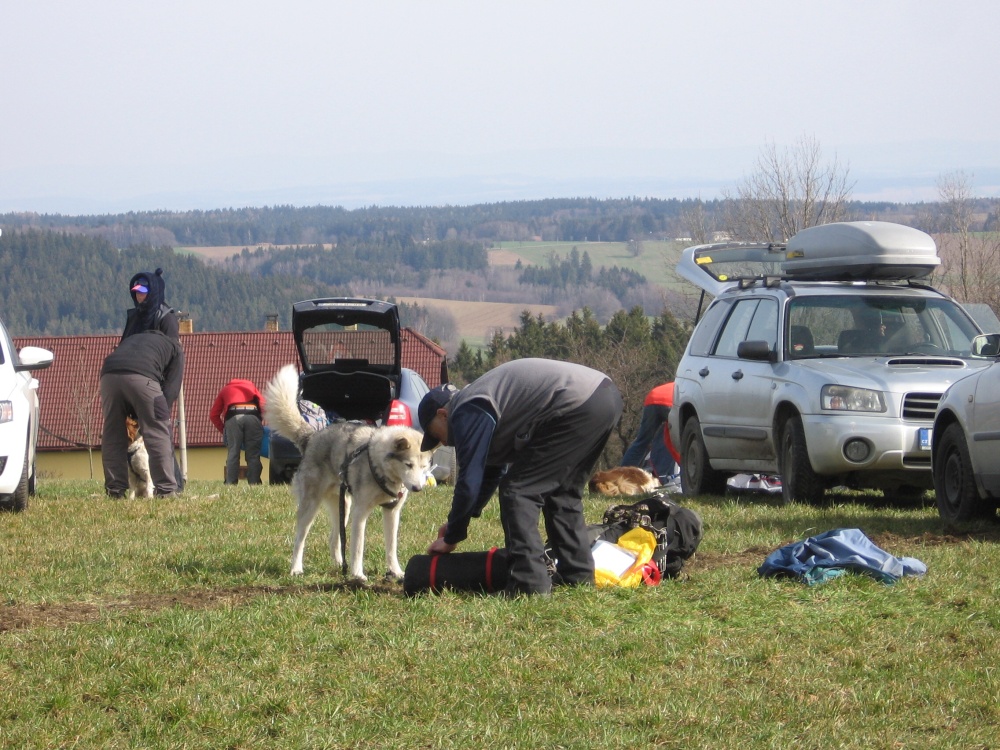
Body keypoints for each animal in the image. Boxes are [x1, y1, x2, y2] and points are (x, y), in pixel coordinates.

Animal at [264, 364, 432, 580]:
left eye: (424, 467)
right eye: (408, 465)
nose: (418, 488)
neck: (379, 465)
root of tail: (312, 437)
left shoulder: (392, 512)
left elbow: (391, 547)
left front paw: (396, 572)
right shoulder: (360, 513)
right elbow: (358, 547)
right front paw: (358, 574)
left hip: (343, 506)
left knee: (334, 538)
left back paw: (339, 566)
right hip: (311, 506)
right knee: (300, 539)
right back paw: (296, 569)